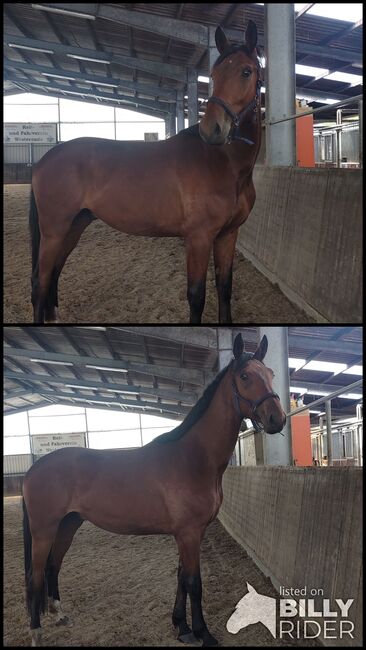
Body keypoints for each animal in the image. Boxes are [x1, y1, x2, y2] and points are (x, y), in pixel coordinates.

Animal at [22, 334, 286, 644]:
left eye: (271, 374)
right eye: (245, 376)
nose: (277, 418)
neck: (192, 458)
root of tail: (34, 468)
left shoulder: (190, 533)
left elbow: (181, 577)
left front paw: (181, 627)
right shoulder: (188, 533)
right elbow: (194, 582)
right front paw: (203, 633)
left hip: (68, 524)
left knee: (53, 567)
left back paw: (60, 615)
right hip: (44, 530)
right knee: (35, 575)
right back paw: (36, 633)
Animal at [29, 21, 264, 322]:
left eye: (246, 71)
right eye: (213, 74)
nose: (212, 129)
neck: (225, 165)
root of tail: (46, 158)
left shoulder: (227, 235)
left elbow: (224, 288)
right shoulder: (199, 238)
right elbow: (197, 296)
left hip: (73, 226)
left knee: (53, 276)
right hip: (54, 230)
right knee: (41, 281)